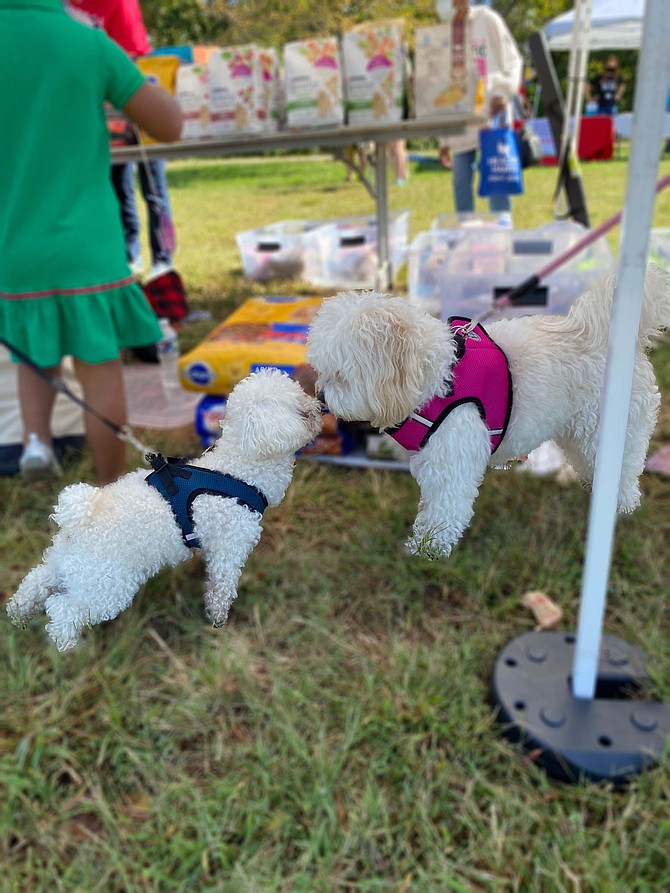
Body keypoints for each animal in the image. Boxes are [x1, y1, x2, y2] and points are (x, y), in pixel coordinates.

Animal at [7, 366, 322, 652]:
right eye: (299, 407)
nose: (319, 406)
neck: (238, 469)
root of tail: (81, 517)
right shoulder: (229, 547)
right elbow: (221, 586)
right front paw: (218, 620)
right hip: (107, 586)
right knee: (63, 608)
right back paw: (70, 646)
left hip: (63, 564)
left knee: (35, 583)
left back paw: (17, 614)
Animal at [310, 266, 670, 556]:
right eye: (321, 370)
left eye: (340, 374)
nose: (322, 396)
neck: (438, 376)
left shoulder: (452, 458)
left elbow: (445, 508)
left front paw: (428, 549)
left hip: (617, 429)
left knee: (624, 471)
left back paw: (619, 506)